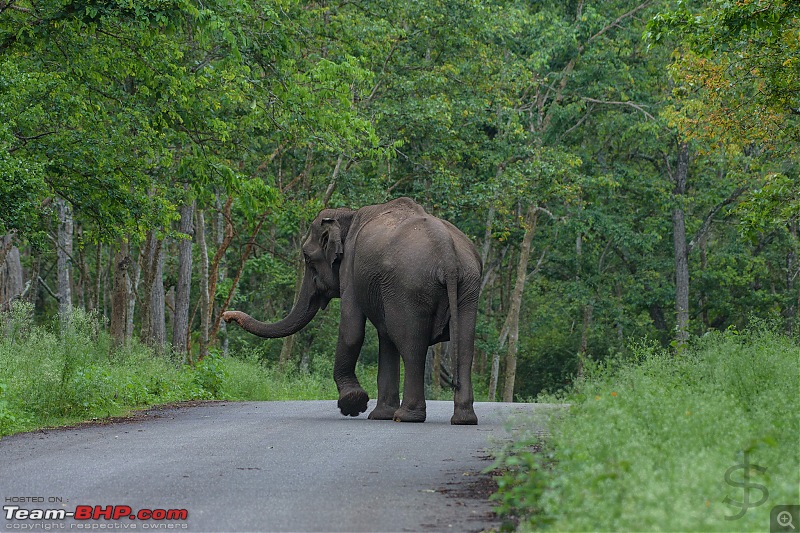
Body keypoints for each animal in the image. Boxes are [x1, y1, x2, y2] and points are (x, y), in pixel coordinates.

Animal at [222, 195, 478, 424]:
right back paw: (463, 419)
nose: (226, 316)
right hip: (467, 288)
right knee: (464, 346)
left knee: (411, 345)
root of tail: (447, 254)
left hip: (409, 288)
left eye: (307, 257)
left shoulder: (351, 269)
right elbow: (384, 337)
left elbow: (352, 329)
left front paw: (353, 403)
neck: (349, 214)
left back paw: (406, 417)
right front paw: (378, 415)